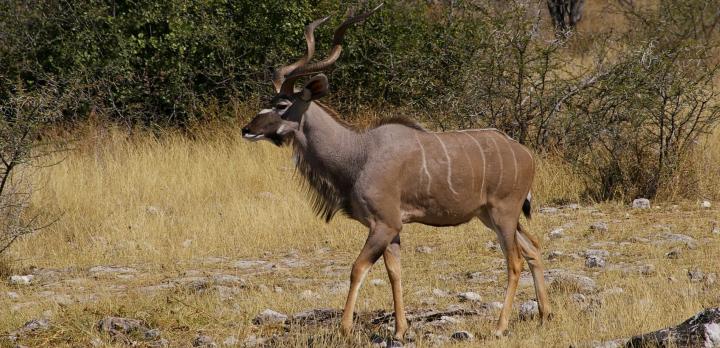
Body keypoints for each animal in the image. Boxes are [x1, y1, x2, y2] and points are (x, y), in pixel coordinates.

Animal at [242, 6, 552, 340]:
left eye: (282, 104)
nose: (247, 129)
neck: (359, 153)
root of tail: (525, 154)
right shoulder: (393, 230)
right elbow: (394, 273)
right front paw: (401, 330)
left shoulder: (384, 224)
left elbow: (357, 269)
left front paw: (345, 327)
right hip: (491, 216)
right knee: (533, 249)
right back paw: (544, 314)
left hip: (503, 213)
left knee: (515, 261)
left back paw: (500, 326)